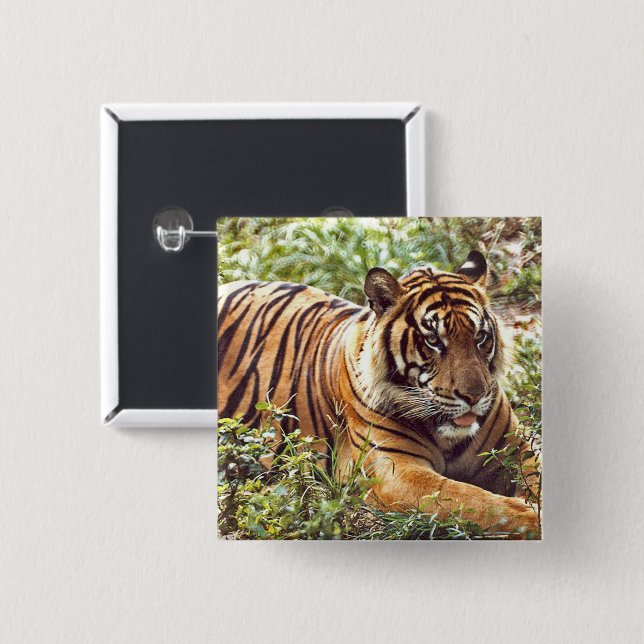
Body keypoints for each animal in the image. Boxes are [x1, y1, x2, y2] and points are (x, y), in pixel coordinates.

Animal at [217, 250, 540, 537]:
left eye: (480, 337)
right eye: (434, 341)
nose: (474, 396)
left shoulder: (517, 446)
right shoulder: (394, 472)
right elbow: (469, 500)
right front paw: (531, 518)